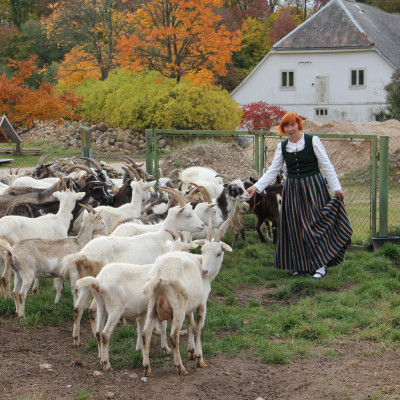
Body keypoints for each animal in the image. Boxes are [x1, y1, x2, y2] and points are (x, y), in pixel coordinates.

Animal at [142, 220, 233, 376]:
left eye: (218, 253)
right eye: (203, 251)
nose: (204, 271)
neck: (200, 261)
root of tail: (159, 274)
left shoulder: (190, 306)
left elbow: (190, 325)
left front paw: (191, 351)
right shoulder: (201, 303)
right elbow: (199, 330)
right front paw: (199, 358)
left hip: (152, 304)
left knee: (145, 334)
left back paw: (147, 368)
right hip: (178, 306)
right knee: (173, 335)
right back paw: (180, 367)